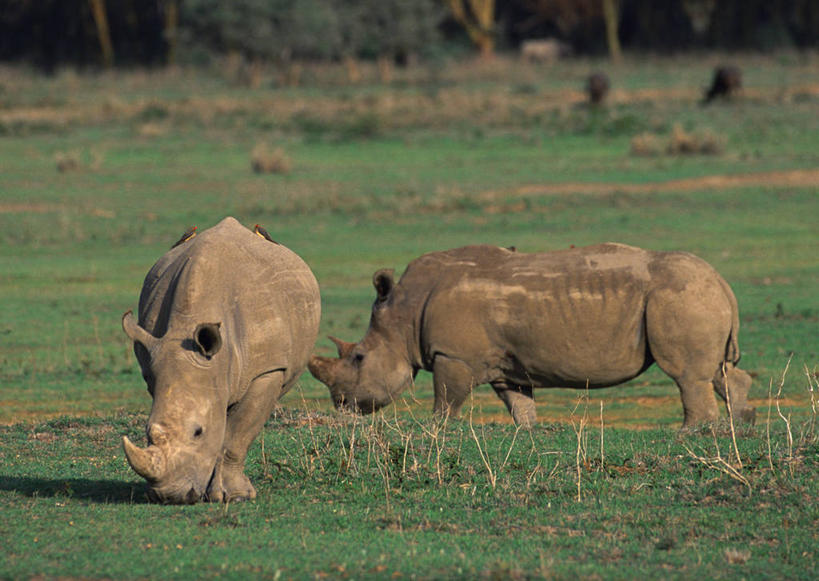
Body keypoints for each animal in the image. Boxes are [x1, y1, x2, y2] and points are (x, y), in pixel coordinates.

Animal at [121, 218, 320, 502]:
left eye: (198, 432)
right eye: (147, 432)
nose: (170, 496)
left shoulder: (268, 370)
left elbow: (236, 435)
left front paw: (235, 496)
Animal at [312, 242, 756, 428]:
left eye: (358, 357)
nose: (342, 406)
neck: (403, 312)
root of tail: (722, 282)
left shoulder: (453, 355)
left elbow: (446, 400)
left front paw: (434, 430)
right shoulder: (505, 364)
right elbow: (519, 404)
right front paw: (527, 432)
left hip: (680, 296)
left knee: (687, 375)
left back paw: (687, 434)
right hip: (695, 296)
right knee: (719, 370)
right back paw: (741, 425)